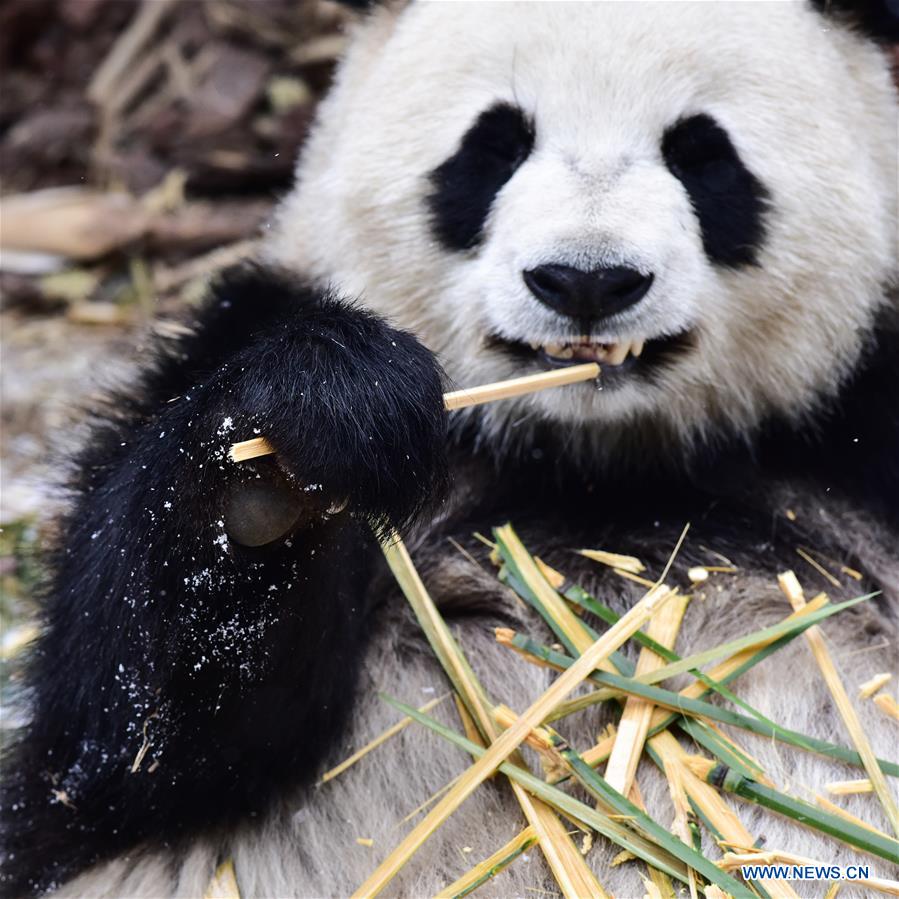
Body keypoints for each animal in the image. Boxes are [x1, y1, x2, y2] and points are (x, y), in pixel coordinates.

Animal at [2, 0, 898, 896]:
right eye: (494, 144)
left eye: (702, 153)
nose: (585, 280)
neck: (591, 463)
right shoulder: (233, 337)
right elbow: (129, 739)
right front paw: (303, 441)